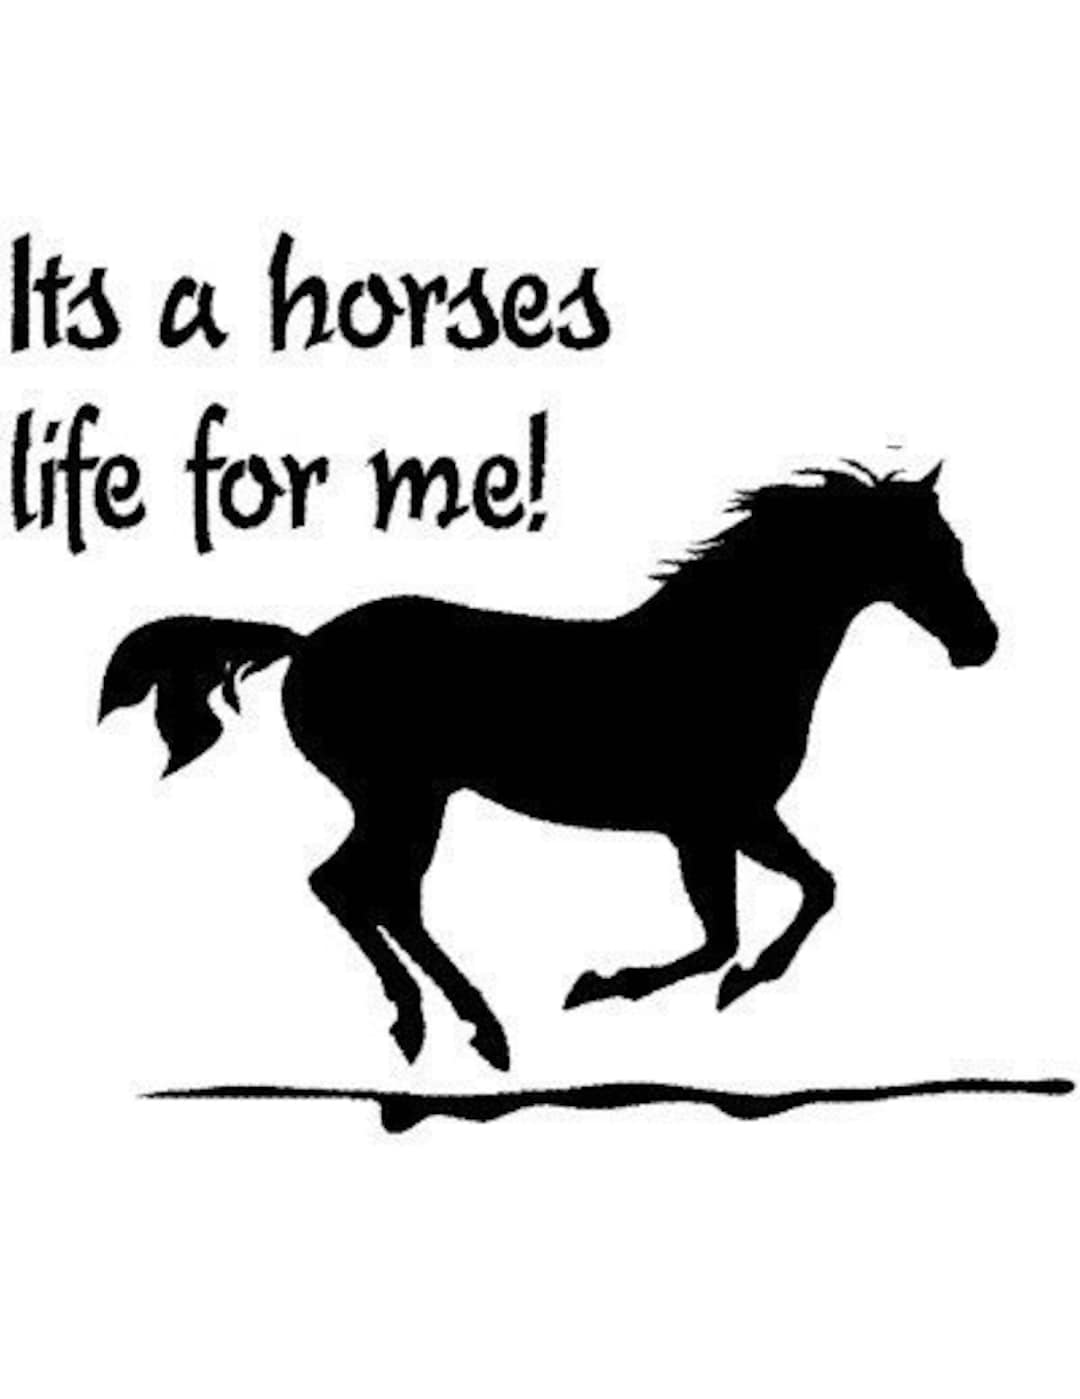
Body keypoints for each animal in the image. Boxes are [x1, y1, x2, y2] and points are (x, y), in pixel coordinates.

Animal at [99, 461, 998, 1070]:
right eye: (929, 551)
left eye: (953, 545)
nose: (981, 642)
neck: (725, 654)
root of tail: (307, 643)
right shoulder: (717, 820)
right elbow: (738, 929)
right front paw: (613, 984)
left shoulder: (722, 823)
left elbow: (794, 898)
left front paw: (727, 980)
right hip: (402, 796)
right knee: (359, 888)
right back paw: (462, 1027)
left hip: (407, 799)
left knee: (372, 892)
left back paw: (451, 1025)